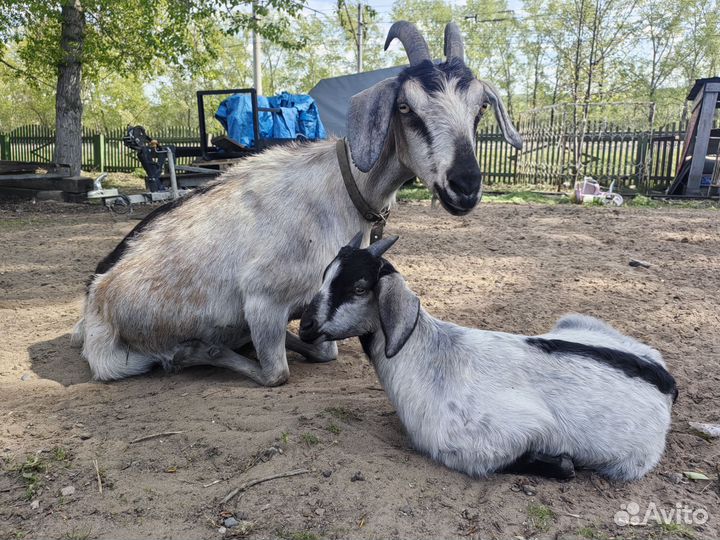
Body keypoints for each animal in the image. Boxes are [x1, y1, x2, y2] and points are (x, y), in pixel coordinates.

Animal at [72, 21, 522, 386]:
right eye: (406, 107)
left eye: (481, 107)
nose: (464, 186)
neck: (339, 192)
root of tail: (96, 305)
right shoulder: (262, 302)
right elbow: (278, 373)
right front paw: (214, 348)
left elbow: (324, 348)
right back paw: (196, 349)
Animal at [299, 235, 677, 480]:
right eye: (325, 276)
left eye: (360, 288)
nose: (305, 326)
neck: (428, 356)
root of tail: (666, 381)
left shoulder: (489, 439)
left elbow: (556, 464)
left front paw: (561, 462)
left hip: (630, 462)